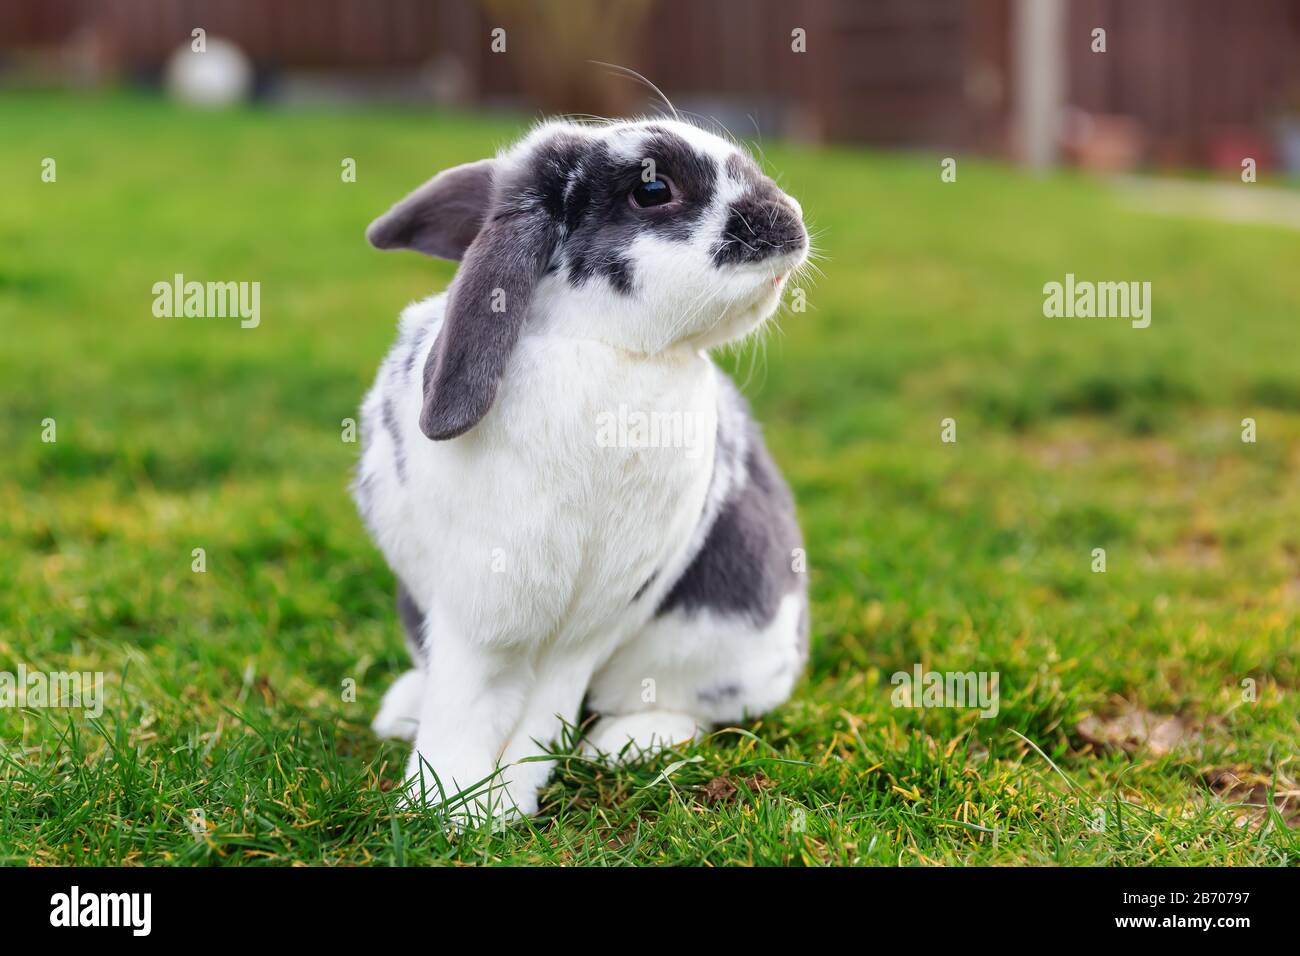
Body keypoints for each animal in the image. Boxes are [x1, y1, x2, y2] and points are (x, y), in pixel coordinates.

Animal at [353, 117, 810, 821]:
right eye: (653, 188)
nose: (789, 222)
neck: (606, 350)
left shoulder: (593, 621)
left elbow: (540, 713)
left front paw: (496, 804)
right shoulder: (478, 609)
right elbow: (467, 699)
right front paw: (443, 806)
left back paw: (621, 746)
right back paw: (401, 711)